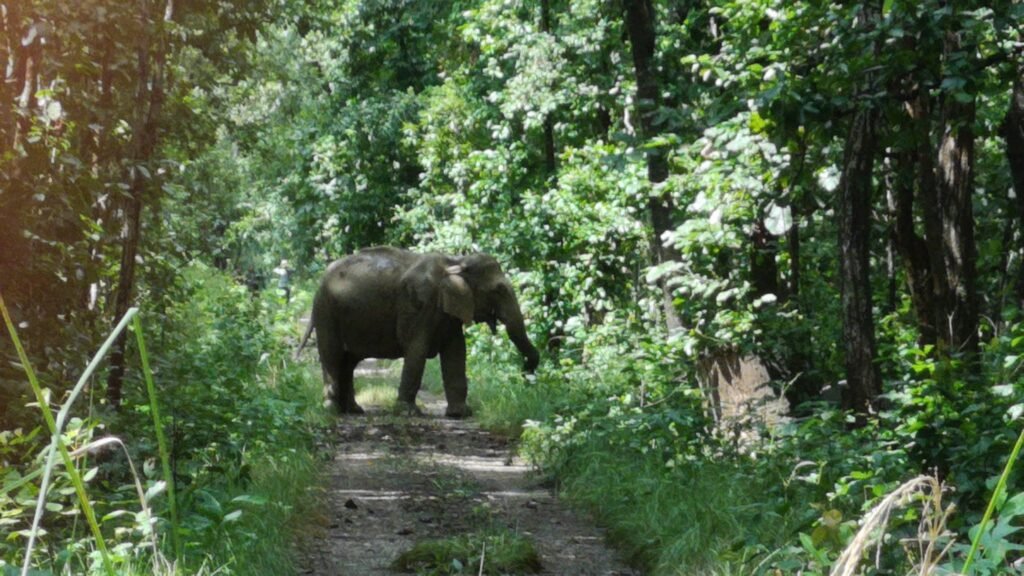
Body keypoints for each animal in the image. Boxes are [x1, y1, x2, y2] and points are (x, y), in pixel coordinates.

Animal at [295, 246, 540, 417]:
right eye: (499, 290)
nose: (526, 376)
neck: (455, 261)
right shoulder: (419, 304)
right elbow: (417, 349)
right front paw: (408, 413)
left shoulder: (448, 310)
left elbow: (456, 353)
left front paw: (460, 414)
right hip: (326, 311)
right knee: (332, 355)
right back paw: (331, 410)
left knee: (348, 361)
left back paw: (353, 410)